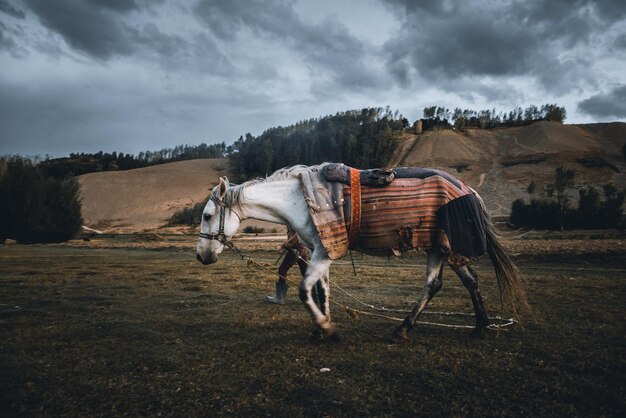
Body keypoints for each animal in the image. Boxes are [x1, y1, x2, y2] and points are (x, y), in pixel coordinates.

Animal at [195, 163, 528, 342]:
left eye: (208, 215)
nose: (201, 255)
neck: (297, 198)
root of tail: (469, 190)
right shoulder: (318, 251)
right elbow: (322, 292)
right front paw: (321, 328)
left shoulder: (322, 251)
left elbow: (305, 290)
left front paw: (326, 329)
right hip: (438, 246)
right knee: (450, 282)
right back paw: (468, 327)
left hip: (446, 244)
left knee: (450, 282)